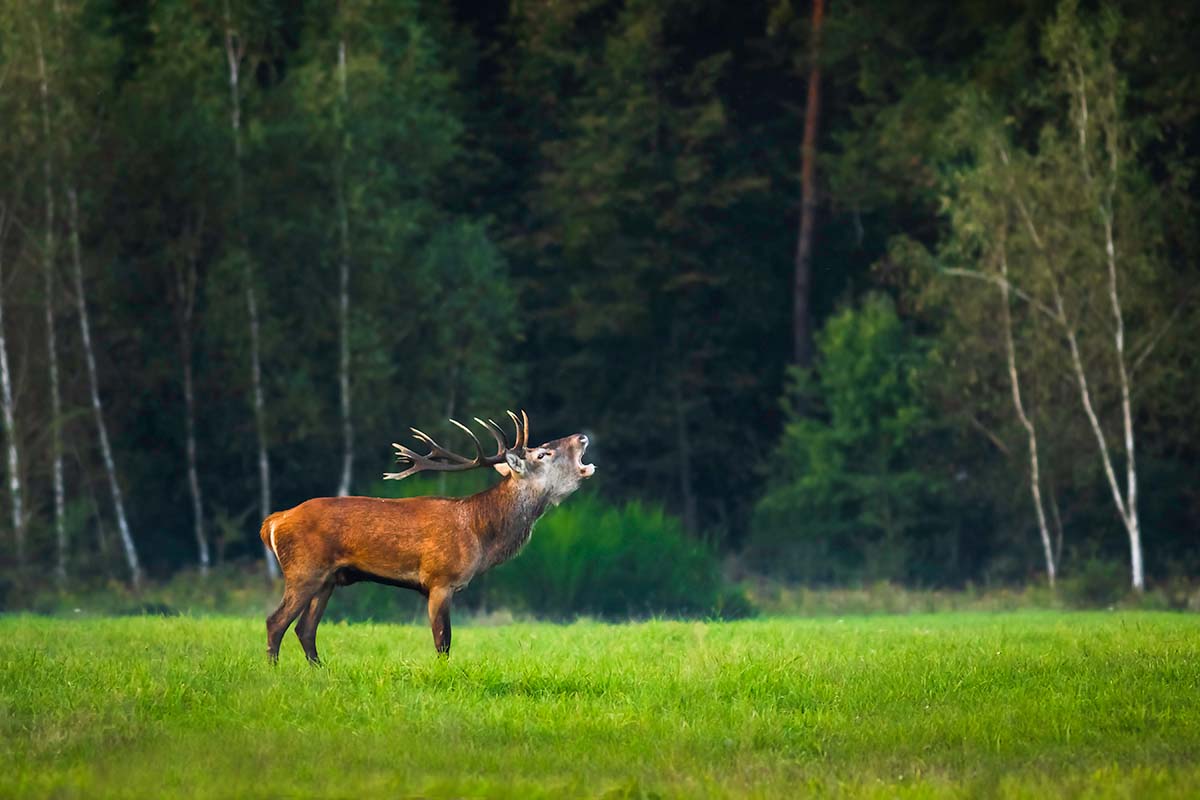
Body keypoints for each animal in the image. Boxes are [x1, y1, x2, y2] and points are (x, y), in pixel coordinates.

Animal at [258, 410, 590, 666]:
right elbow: (443, 641)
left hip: (327, 579)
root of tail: (273, 523)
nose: (581, 437)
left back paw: (320, 670)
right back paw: (275, 672)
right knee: (276, 622)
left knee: (305, 629)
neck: (480, 534)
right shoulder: (440, 580)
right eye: (543, 453)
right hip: (304, 570)